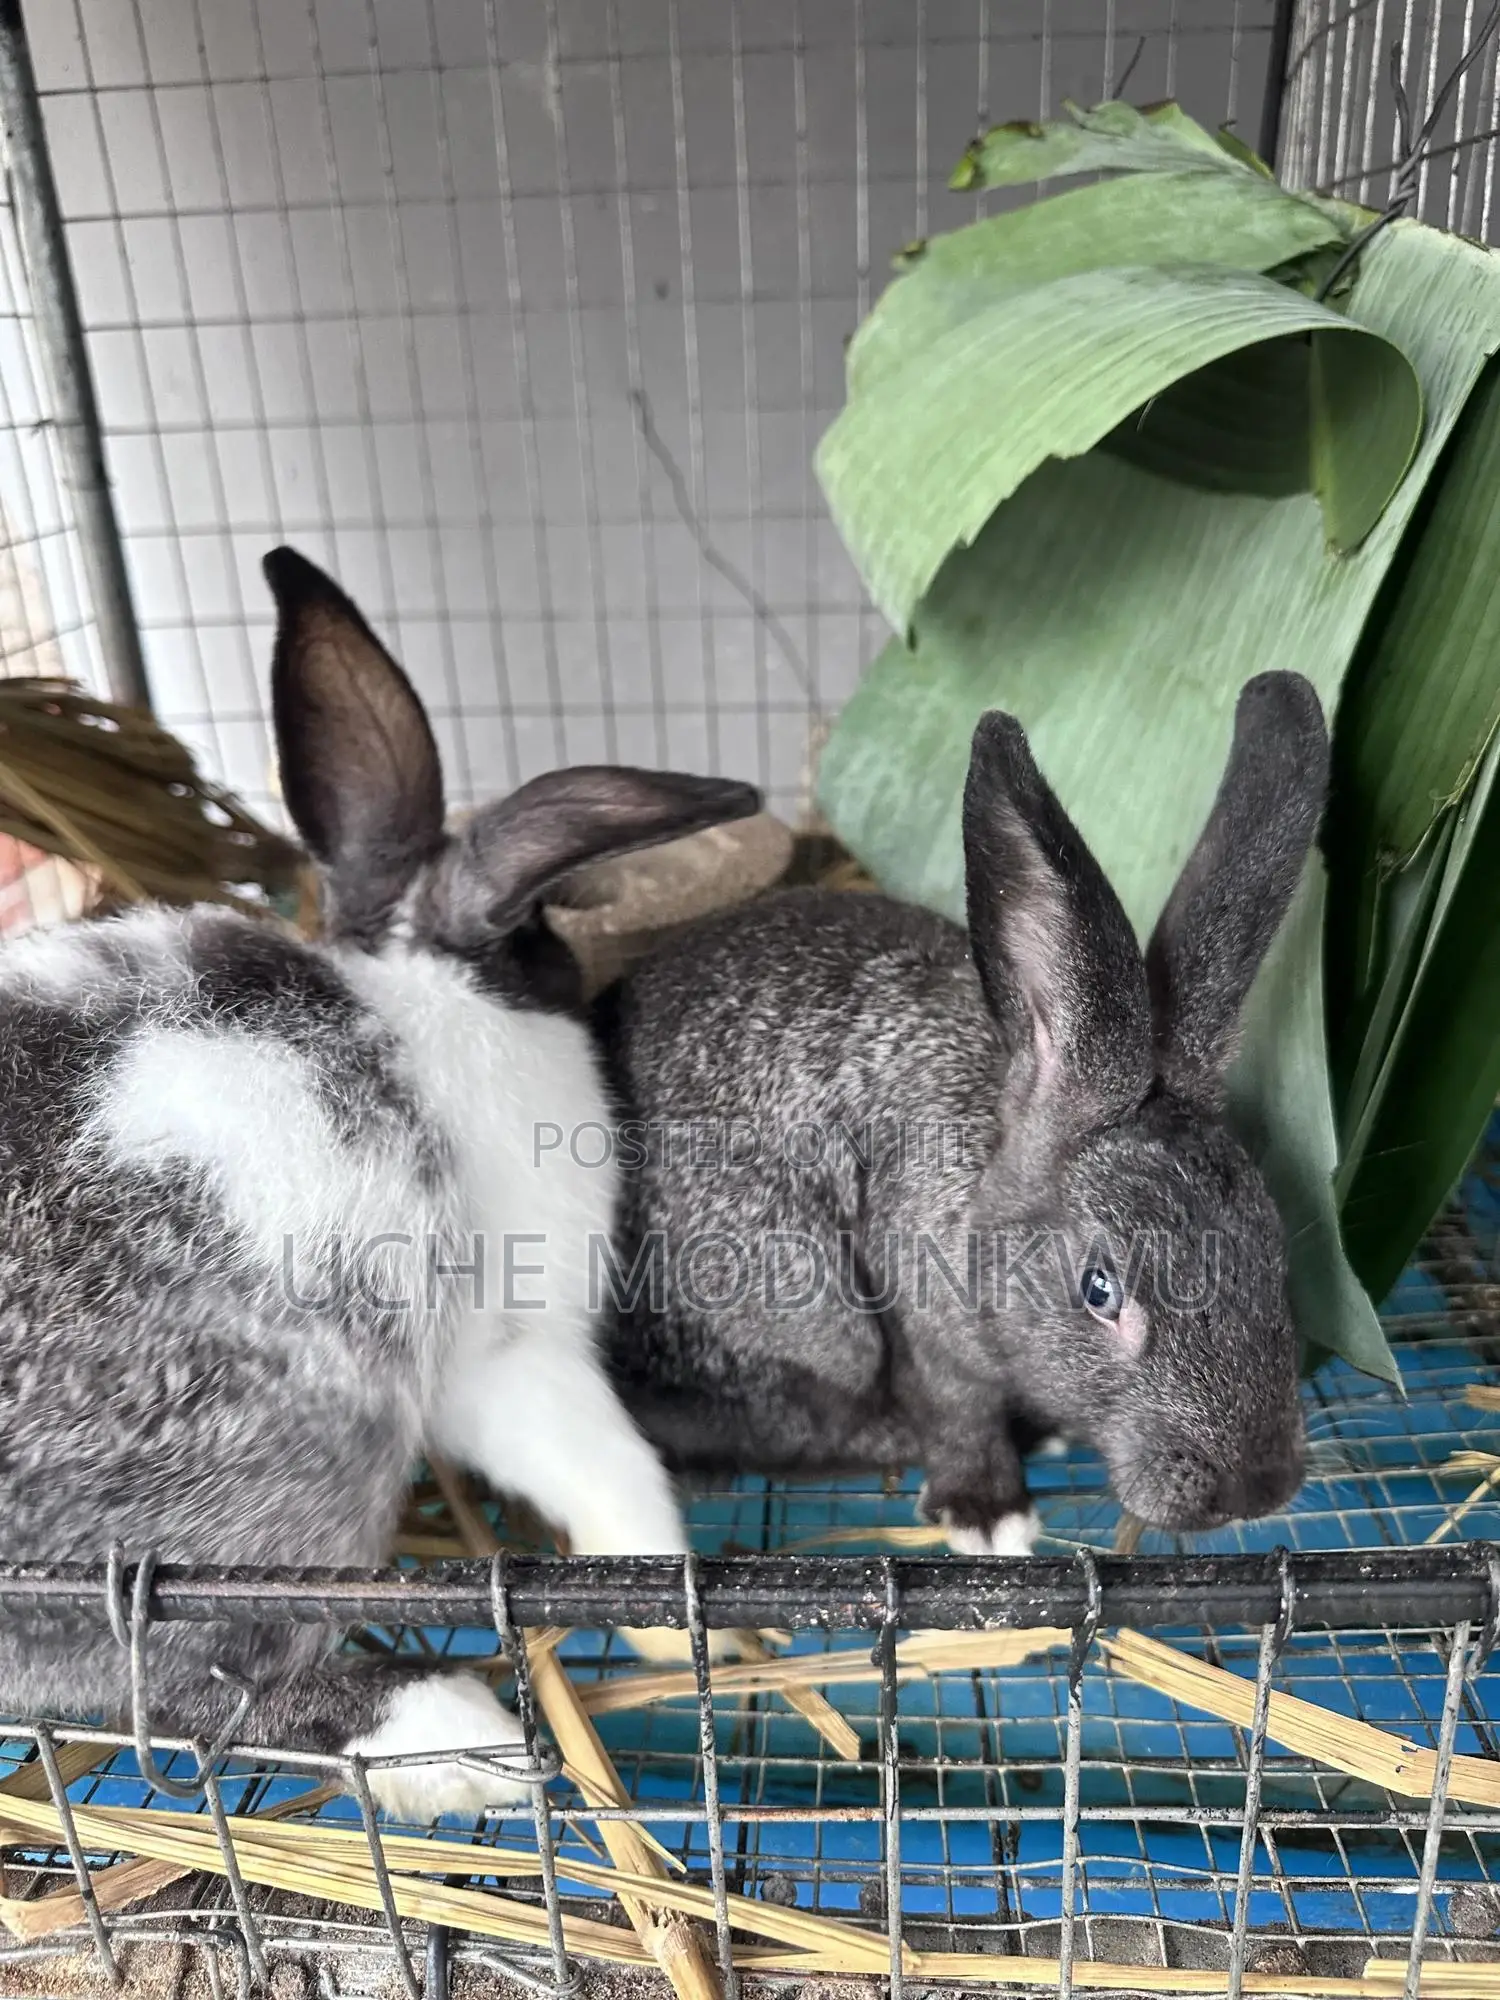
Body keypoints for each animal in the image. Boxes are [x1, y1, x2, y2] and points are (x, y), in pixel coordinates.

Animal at [0, 547, 760, 1819]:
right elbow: (615, 1474)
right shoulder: (508, 1351)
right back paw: (462, 1737)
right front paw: (688, 1626)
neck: (417, 991)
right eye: (544, 941)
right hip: (282, 1471)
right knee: (183, 1683)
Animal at [595, 673, 1327, 1554]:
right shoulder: (927, 1330)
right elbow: (955, 1413)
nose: (1259, 1487)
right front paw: (987, 1511)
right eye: (1099, 1289)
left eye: (1270, 1249)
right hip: (806, 1304)